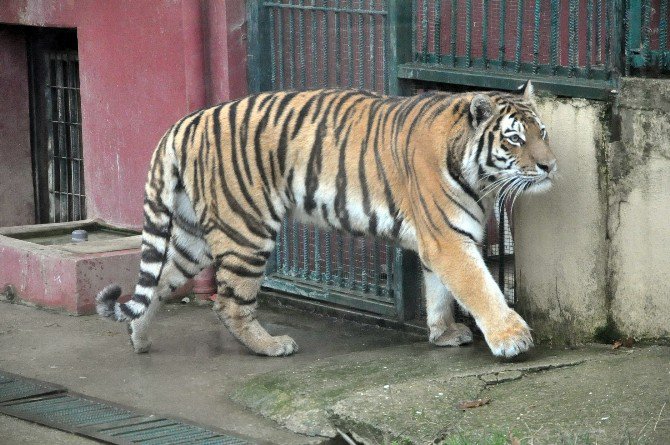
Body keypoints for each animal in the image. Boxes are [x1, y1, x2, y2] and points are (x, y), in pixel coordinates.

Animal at [94, 80, 556, 358]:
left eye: (543, 132)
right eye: (514, 139)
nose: (551, 166)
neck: (479, 174)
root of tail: (183, 123)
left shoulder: (440, 239)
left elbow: (440, 292)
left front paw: (443, 334)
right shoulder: (448, 239)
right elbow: (480, 288)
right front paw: (512, 339)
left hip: (194, 238)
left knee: (159, 282)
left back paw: (139, 337)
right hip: (246, 230)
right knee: (228, 302)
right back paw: (271, 345)